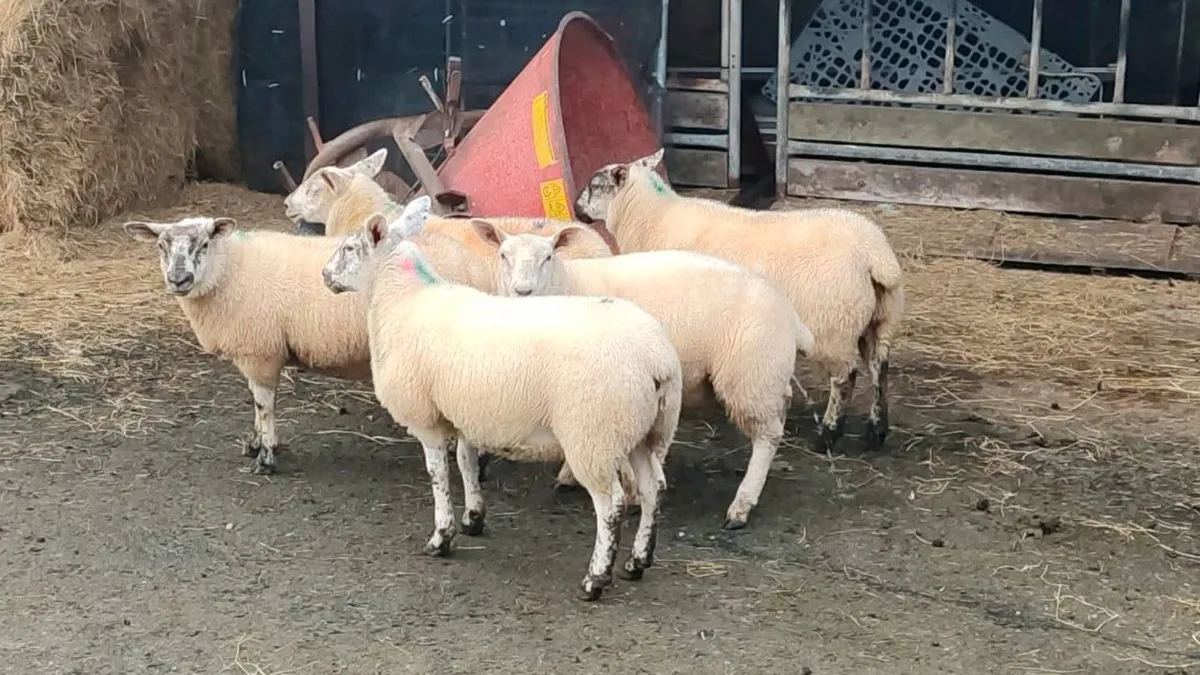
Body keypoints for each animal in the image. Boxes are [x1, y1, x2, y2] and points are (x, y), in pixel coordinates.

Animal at [121, 197, 433, 475]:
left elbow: (264, 405)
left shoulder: (260, 352)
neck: (230, 270)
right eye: (161, 246)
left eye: (204, 244)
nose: (179, 280)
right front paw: (255, 443)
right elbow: (255, 402)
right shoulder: (252, 352)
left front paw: (266, 457)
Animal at [357, 218, 683, 601]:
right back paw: (637, 562)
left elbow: (438, 476)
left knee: (611, 505)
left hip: (594, 435)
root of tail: (656, 359)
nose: (325, 276)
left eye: (350, 247)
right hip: (644, 431)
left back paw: (595, 578)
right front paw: (473, 518)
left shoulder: (426, 419)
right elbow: (466, 463)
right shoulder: (468, 414)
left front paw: (441, 538)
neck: (405, 299)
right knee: (652, 489)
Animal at [476, 222, 814, 529]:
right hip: (766, 375)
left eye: (548, 257)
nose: (523, 291)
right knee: (781, 409)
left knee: (768, 436)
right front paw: (571, 475)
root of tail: (790, 315)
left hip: (751, 374)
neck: (567, 283)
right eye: (503, 255)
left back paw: (742, 505)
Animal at [574, 149, 906, 455]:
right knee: (879, 368)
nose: (576, 209)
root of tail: (876, 256)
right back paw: (876, 432)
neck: (649, 218)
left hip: (834, 327)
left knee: (846, 379)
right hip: (880, 319)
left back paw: (828, 435)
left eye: (594, 185)